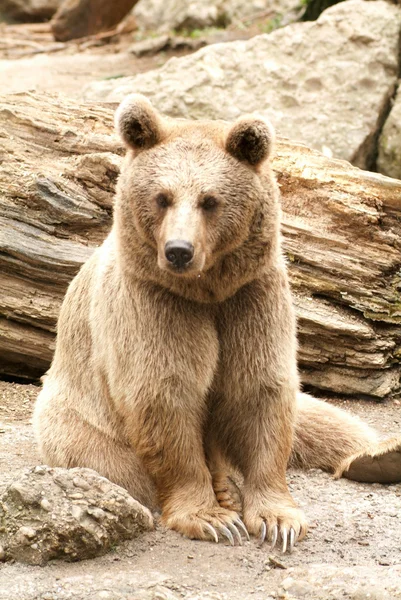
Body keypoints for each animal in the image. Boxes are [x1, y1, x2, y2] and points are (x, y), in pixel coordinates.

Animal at [32, 94, 398, 552]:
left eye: (209, 200)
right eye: (162, 197)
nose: (178, 250)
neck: (206, 292)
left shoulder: (252, 299)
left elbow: (261, 391)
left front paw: (277, 519)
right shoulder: (153, 305)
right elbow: (164, 395)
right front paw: (211, 517)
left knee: (323, 417)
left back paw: (377, 455)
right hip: (81, 427)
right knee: (111, 461)